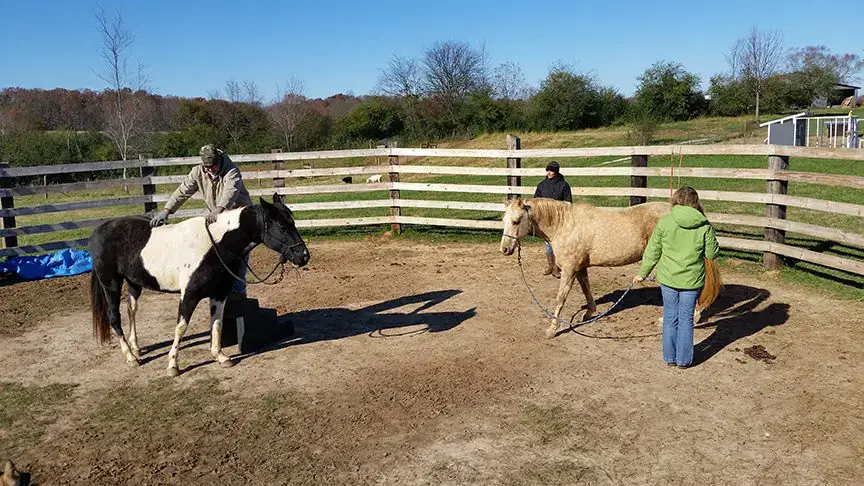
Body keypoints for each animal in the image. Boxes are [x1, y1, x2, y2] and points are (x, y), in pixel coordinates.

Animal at [88, 193, 310, 377]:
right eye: (282, 227)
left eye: (293, 223)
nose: (303, 256)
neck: (215, 245)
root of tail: (99, 230)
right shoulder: (189, 295)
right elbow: (181, 328)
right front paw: (173, 365)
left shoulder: (219, 294)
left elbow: (217, 324)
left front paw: (220, 356)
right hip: (111, 283)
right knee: (114, 317)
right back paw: (131, 357)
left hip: (134, 282)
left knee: (131, 310)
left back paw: (136, 348)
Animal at [500, 197, 719, 338]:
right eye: (504, 220)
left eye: (516, 221)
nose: (505, 249)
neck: (565, 225)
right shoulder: (580, 267)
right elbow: (586, 288)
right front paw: (589, 313)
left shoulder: (569, 269)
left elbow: (560, 299)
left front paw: (552, 329)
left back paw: (690, 317)